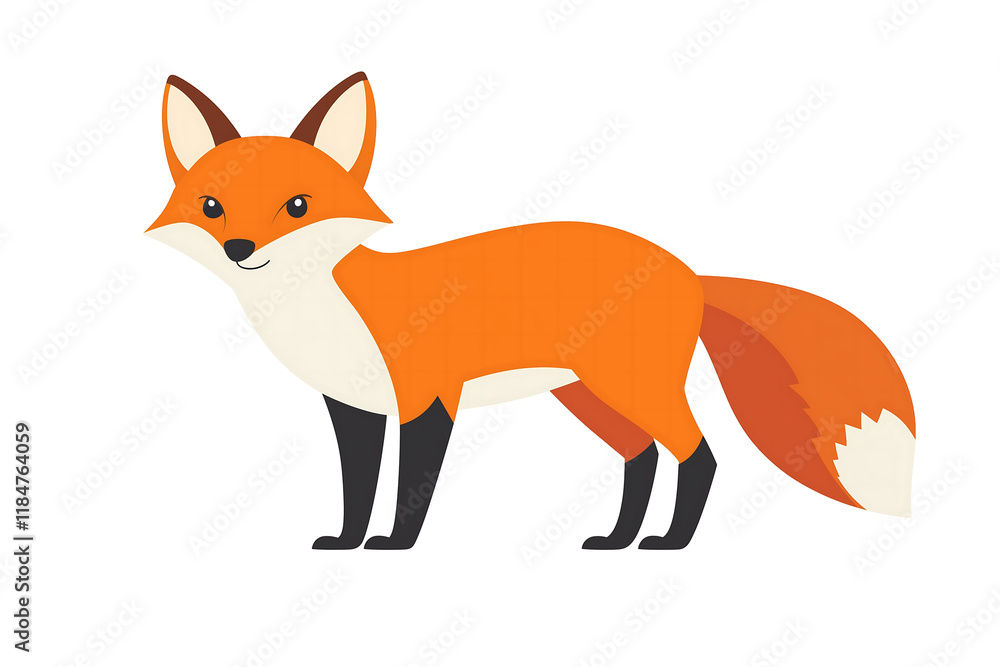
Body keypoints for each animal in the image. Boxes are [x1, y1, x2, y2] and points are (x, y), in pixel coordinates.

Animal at [147, 72, 916, 550]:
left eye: (298, 206)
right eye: (211, 206)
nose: (241, 248)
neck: (326, 307)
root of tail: (687, 269)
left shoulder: (428, 396)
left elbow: (410, 486)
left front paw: (395, 544)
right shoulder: (354, 407)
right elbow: (357, 486)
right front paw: (347, 540)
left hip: (630, 387)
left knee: (698, 454)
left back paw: (669, 541)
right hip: (590, 397)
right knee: (642, 456)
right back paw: (619, 539)